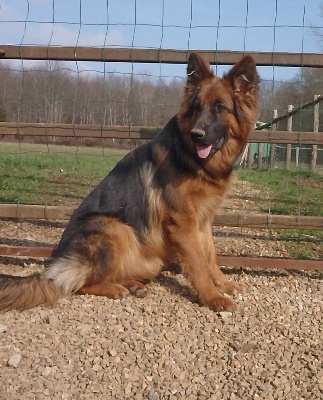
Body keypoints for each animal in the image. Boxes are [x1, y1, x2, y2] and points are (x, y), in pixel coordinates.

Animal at [0, 52, 260, 312]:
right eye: (197, 107)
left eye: (220, 108)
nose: (197, 135)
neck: (192, 158)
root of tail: (58, 264)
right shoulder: (183, 222)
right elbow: (198, 262)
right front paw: (213, 297)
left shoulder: (203, 220)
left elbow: (210, 256)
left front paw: (224, 284)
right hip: (116, 229)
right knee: (75, 285)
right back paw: (115, 289)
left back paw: (133, 285)